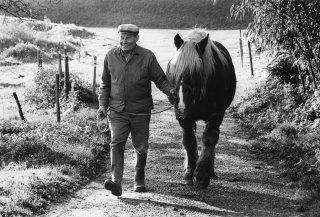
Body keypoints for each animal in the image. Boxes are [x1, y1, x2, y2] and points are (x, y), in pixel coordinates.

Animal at [166, 29, 236, 189]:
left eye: (196, 72)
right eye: (174, 69)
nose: (182, 106)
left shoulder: (216, 114)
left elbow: (209, 139)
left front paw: (202, 175)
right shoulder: (183, 119)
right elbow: (189, 141)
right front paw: (190, 172)